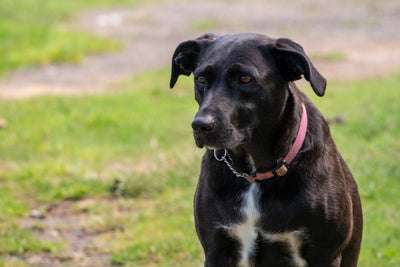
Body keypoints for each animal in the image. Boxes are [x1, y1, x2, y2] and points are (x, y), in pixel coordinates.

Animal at [169, 34, 362, 267]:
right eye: (201, 79)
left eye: (245, 78)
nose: (200, 126)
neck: (255, 172)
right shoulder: (217, 249)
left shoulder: (324, 254)